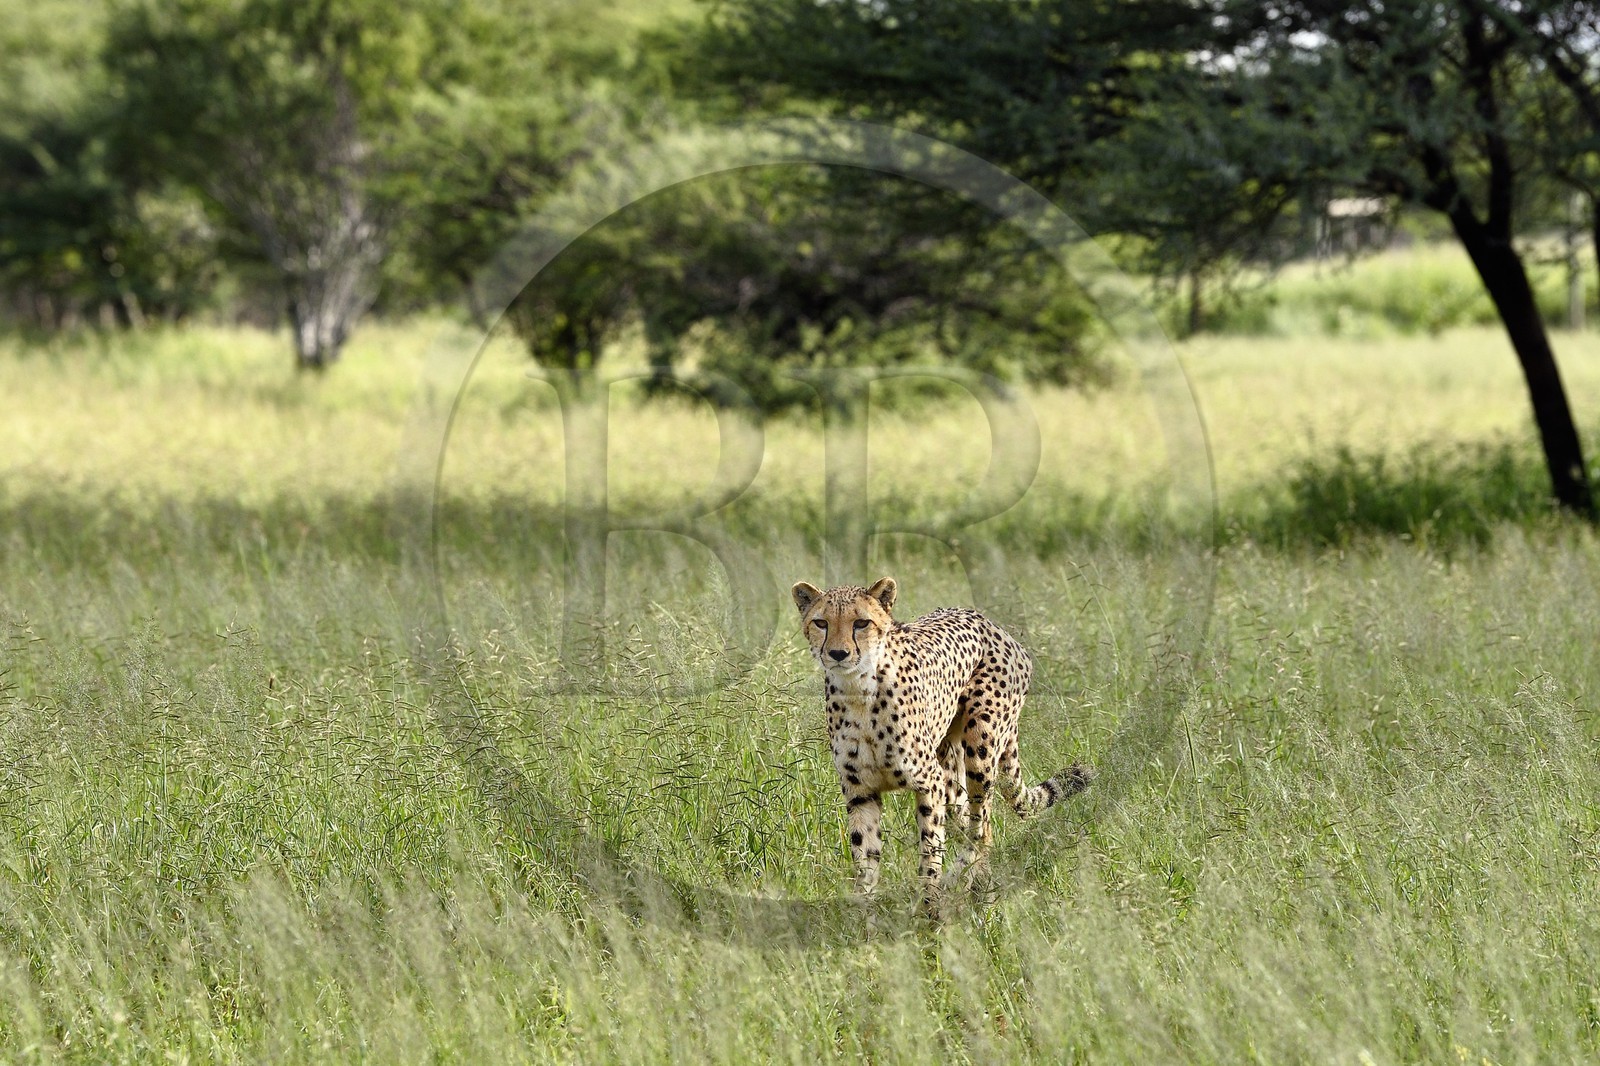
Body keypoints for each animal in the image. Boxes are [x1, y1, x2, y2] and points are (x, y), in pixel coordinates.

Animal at [791, 576, 1093, 915]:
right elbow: (865, 859)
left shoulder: (928, 782)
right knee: (973, 824)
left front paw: (930, 911)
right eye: (821, 623)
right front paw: (864, 918)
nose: (838, 654)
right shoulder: (860, 792)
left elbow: (930, 850)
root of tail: (990, 623)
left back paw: (972, 893)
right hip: (952, 776)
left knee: (980, 828)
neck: (859, 691)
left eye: (861, 623)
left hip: (981, 750)